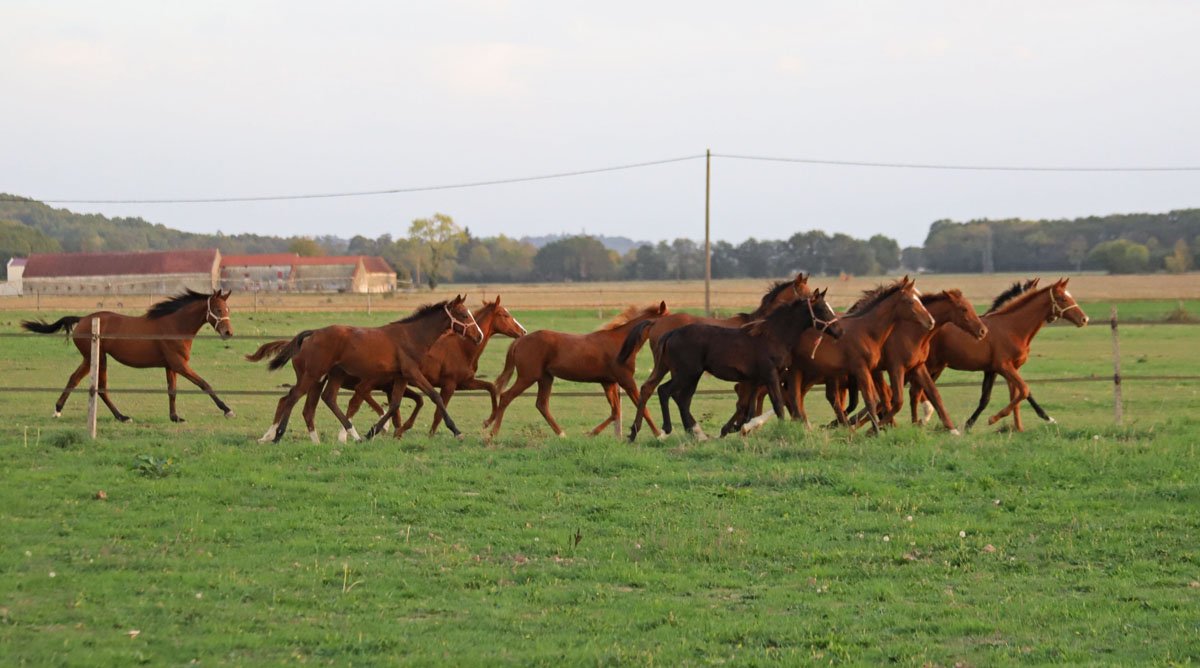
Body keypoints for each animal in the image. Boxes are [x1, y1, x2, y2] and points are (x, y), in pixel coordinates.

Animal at [22, 289, 235, 423]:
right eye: (218, 309)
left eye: (228, 309)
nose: (228, 333)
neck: (175, 325)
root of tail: (82, 319)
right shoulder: (179, 364)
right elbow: (204, 384)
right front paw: (227, 410)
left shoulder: (171, 366)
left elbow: (172, 391)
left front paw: (175, 417)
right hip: (98, 358)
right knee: (100, 387)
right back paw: (122, 417)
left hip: (91, 359)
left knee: (75, 379)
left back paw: (59, 410)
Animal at [258, 296, 483, 443]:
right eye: (464, 315)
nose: (479, 336)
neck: (412, 336)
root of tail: (314, 333)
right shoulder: (413, 373)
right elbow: (435, 397)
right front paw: (456, 430)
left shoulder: (401, 377)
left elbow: (395, 404)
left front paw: (372, 431)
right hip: (313, 374)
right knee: (293, 398)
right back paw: (278, 435)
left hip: (328, 376)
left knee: (323, 399)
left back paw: (351, 435)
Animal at [483, 302, 669, 439]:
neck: (621, 343)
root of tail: (519, 341)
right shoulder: (626, 380)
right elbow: (641, 406)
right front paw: (659, 434)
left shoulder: (608, 383)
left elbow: (615, 411)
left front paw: (591, 433)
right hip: (528, 377)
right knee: (506, 397)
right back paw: (493, 433)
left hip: (546, 378)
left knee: (542, 404)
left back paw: (562, 434)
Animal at [628, 289, 842, 442]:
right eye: (823, 309)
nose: (839, 331)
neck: (773, 336)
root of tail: (670, 332)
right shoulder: (770, 375)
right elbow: (777, 403)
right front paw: (782, 431)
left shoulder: (755, 380)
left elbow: (749, 408)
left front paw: (742, 429)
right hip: (686, 373)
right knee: (665, 391)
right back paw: (666, 430)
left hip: (680, 373)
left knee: (673, 396)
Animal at [913, 278, 1088, 431]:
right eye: (1062, 298)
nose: (1084, 319)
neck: (1012, 328)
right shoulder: (1002, 366)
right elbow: (1024, 390)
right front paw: (990, 420)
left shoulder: (1003, 369)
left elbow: (1013, 395)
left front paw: (1019, 428)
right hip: (930, 365)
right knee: (920, 389)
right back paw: (924, 419)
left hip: (937, 367)